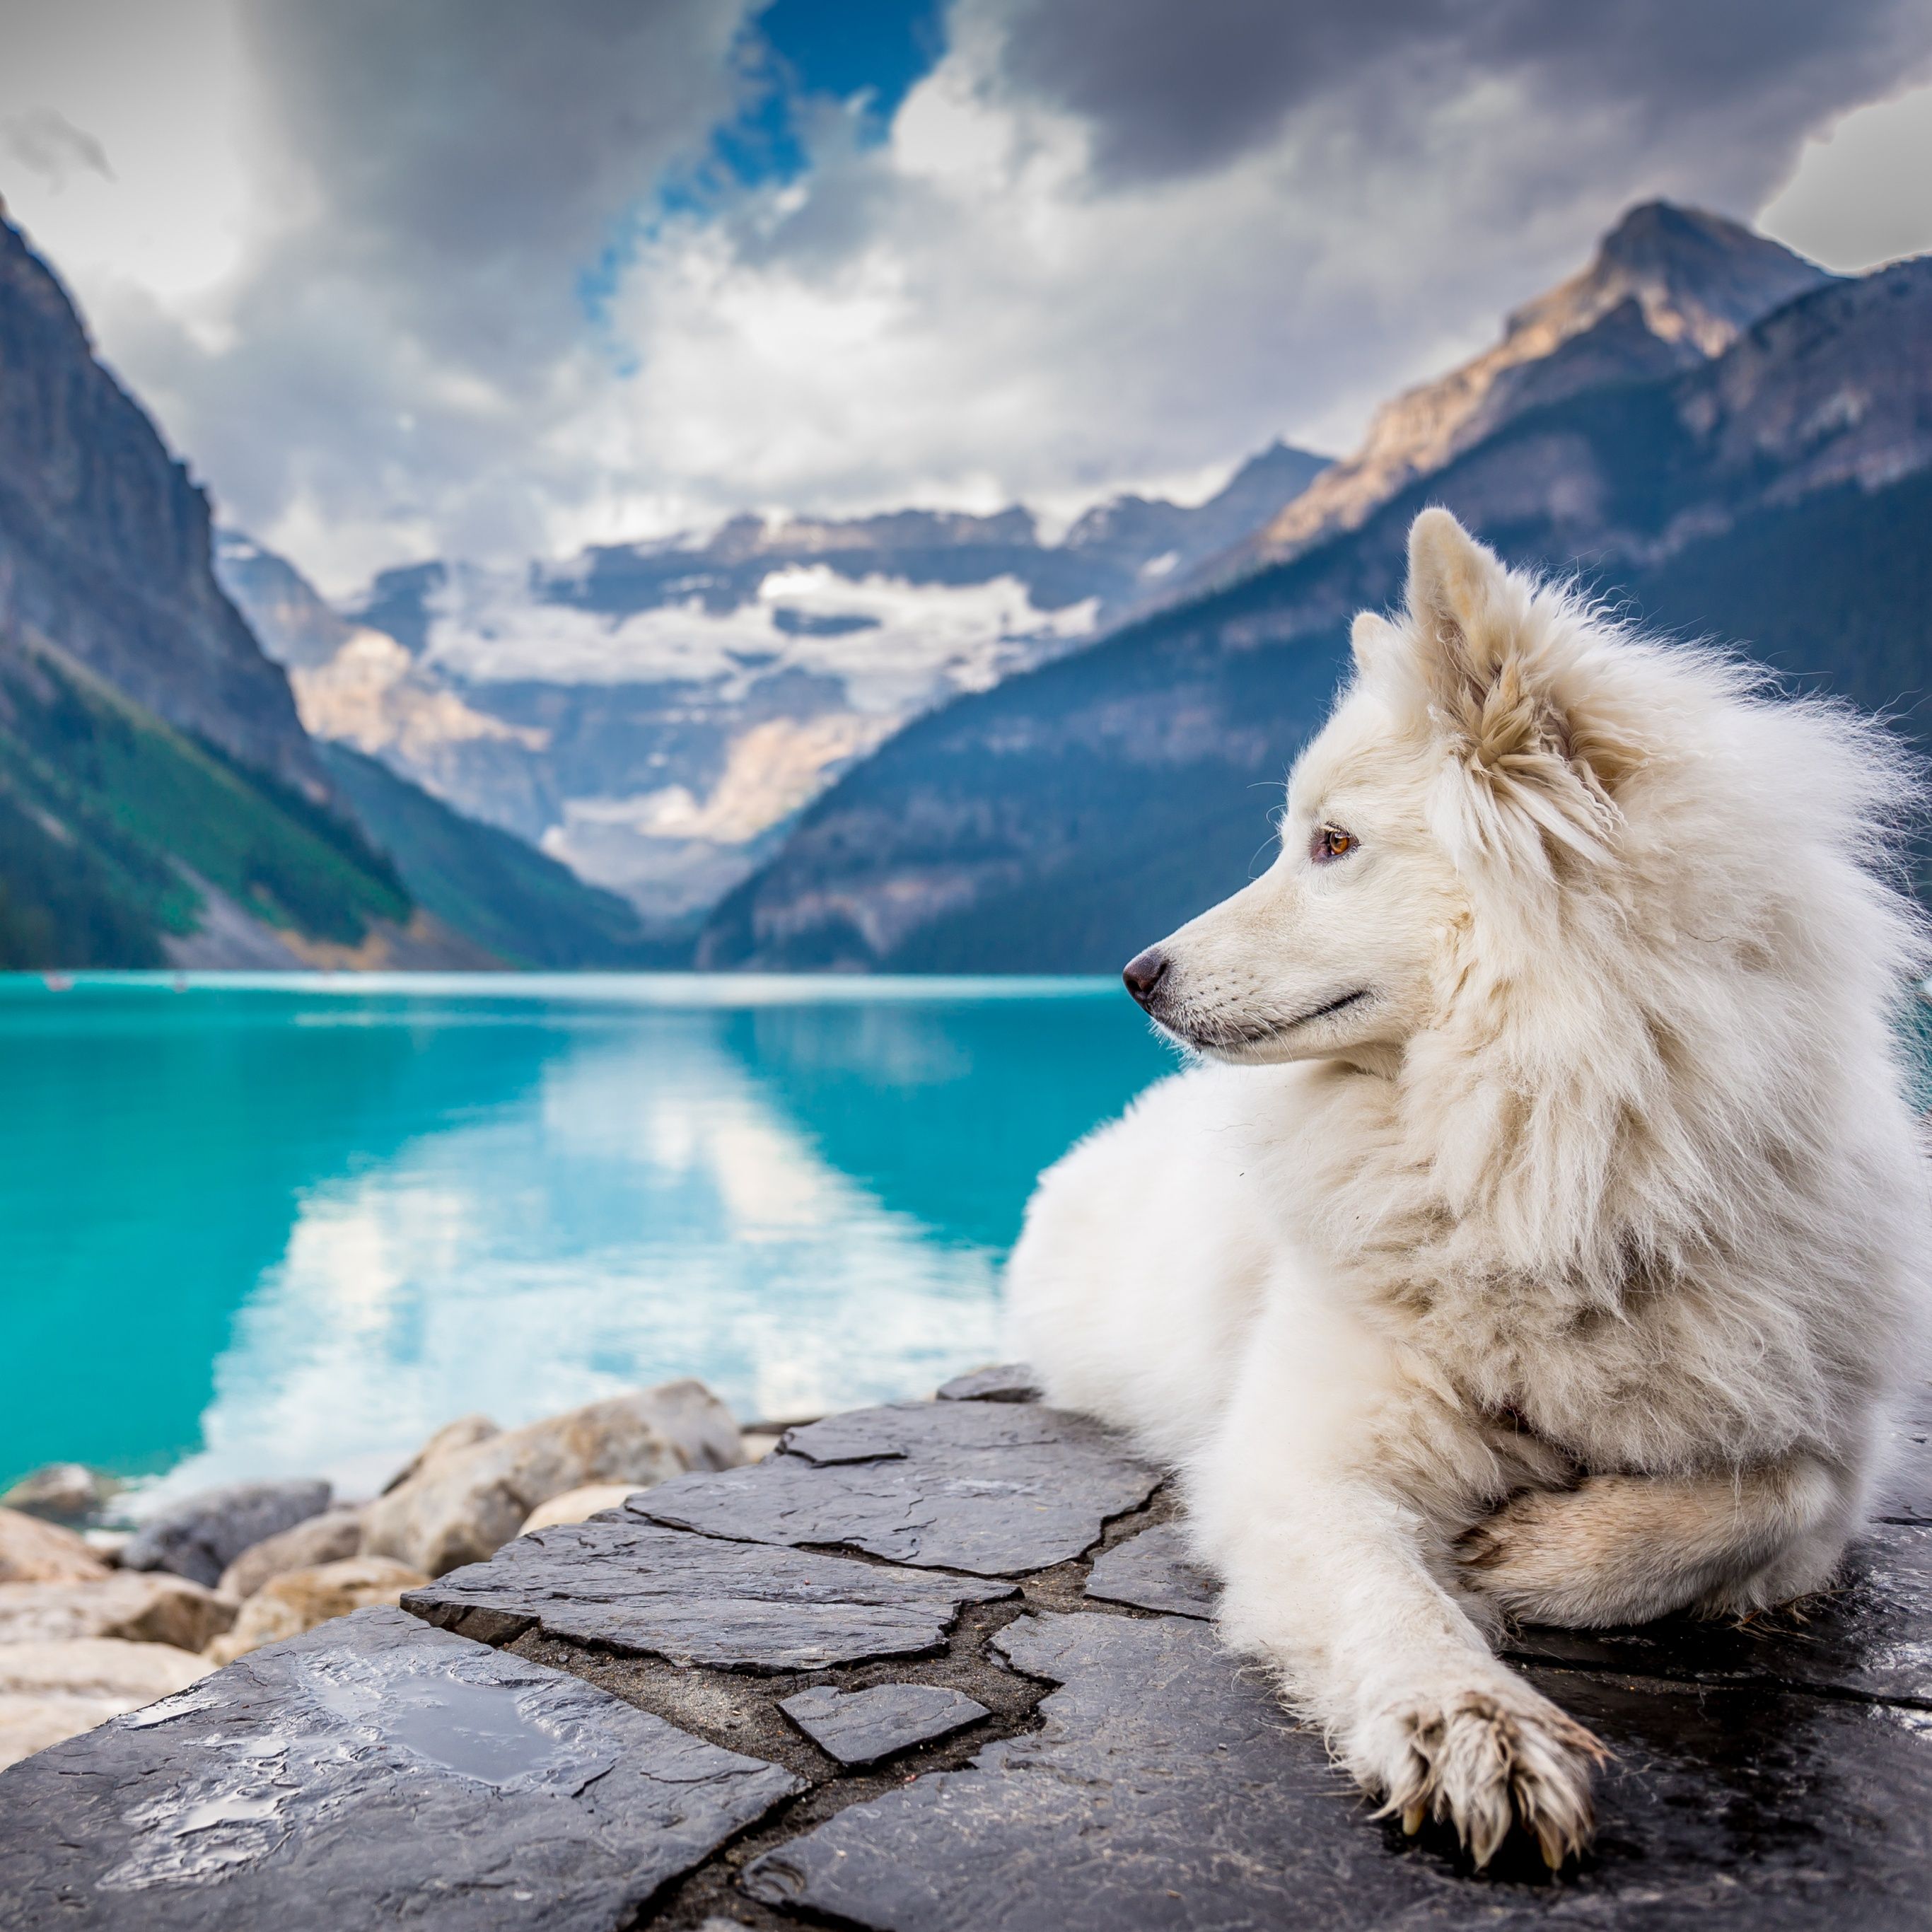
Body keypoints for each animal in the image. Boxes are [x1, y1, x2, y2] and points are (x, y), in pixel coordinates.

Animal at [1012, 510, 1932, 1870]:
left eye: (1332, 843)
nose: (1136, 975)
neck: (1553, 1159)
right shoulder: (1304, 1461)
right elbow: (1393, 1601)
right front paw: (1468, 1724)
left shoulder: (1835, 1442)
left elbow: (1765, 1496)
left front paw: (1541, 1553)